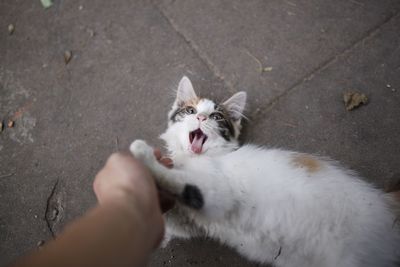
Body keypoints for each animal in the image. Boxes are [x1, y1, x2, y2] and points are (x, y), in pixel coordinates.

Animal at [130, 76, 400, 267]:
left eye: (216, 116)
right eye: (189, 111)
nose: (201, 117)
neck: (203, 158)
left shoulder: (218, 191)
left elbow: (184, 183)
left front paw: (142, 156)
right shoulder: (196, 219)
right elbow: (174, 217)